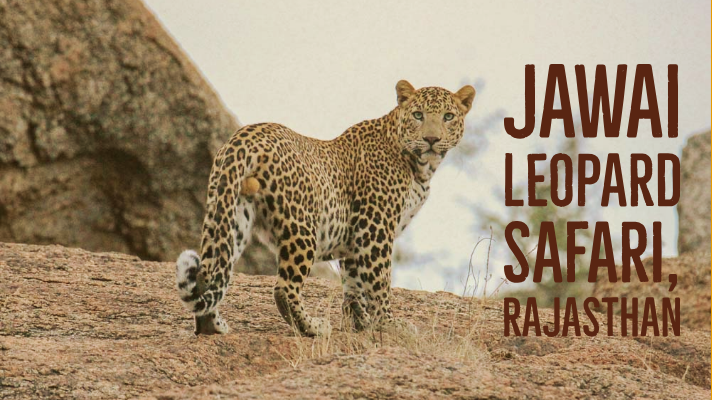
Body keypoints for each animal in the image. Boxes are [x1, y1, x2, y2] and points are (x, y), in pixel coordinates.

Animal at [176, 80, 476, 336]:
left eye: (448, 116)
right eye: (418, 115)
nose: (431, 139)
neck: (420, 167)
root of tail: (244, 137)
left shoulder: (356, 236)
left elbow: (353, 281)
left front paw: (360, 321)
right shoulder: (375, 226)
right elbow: (379, 280)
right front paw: (389, 324)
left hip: (230, 213)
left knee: (209, 272)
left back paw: (211, 326)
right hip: (301, 226)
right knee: (284, 288)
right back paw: (314, 328)